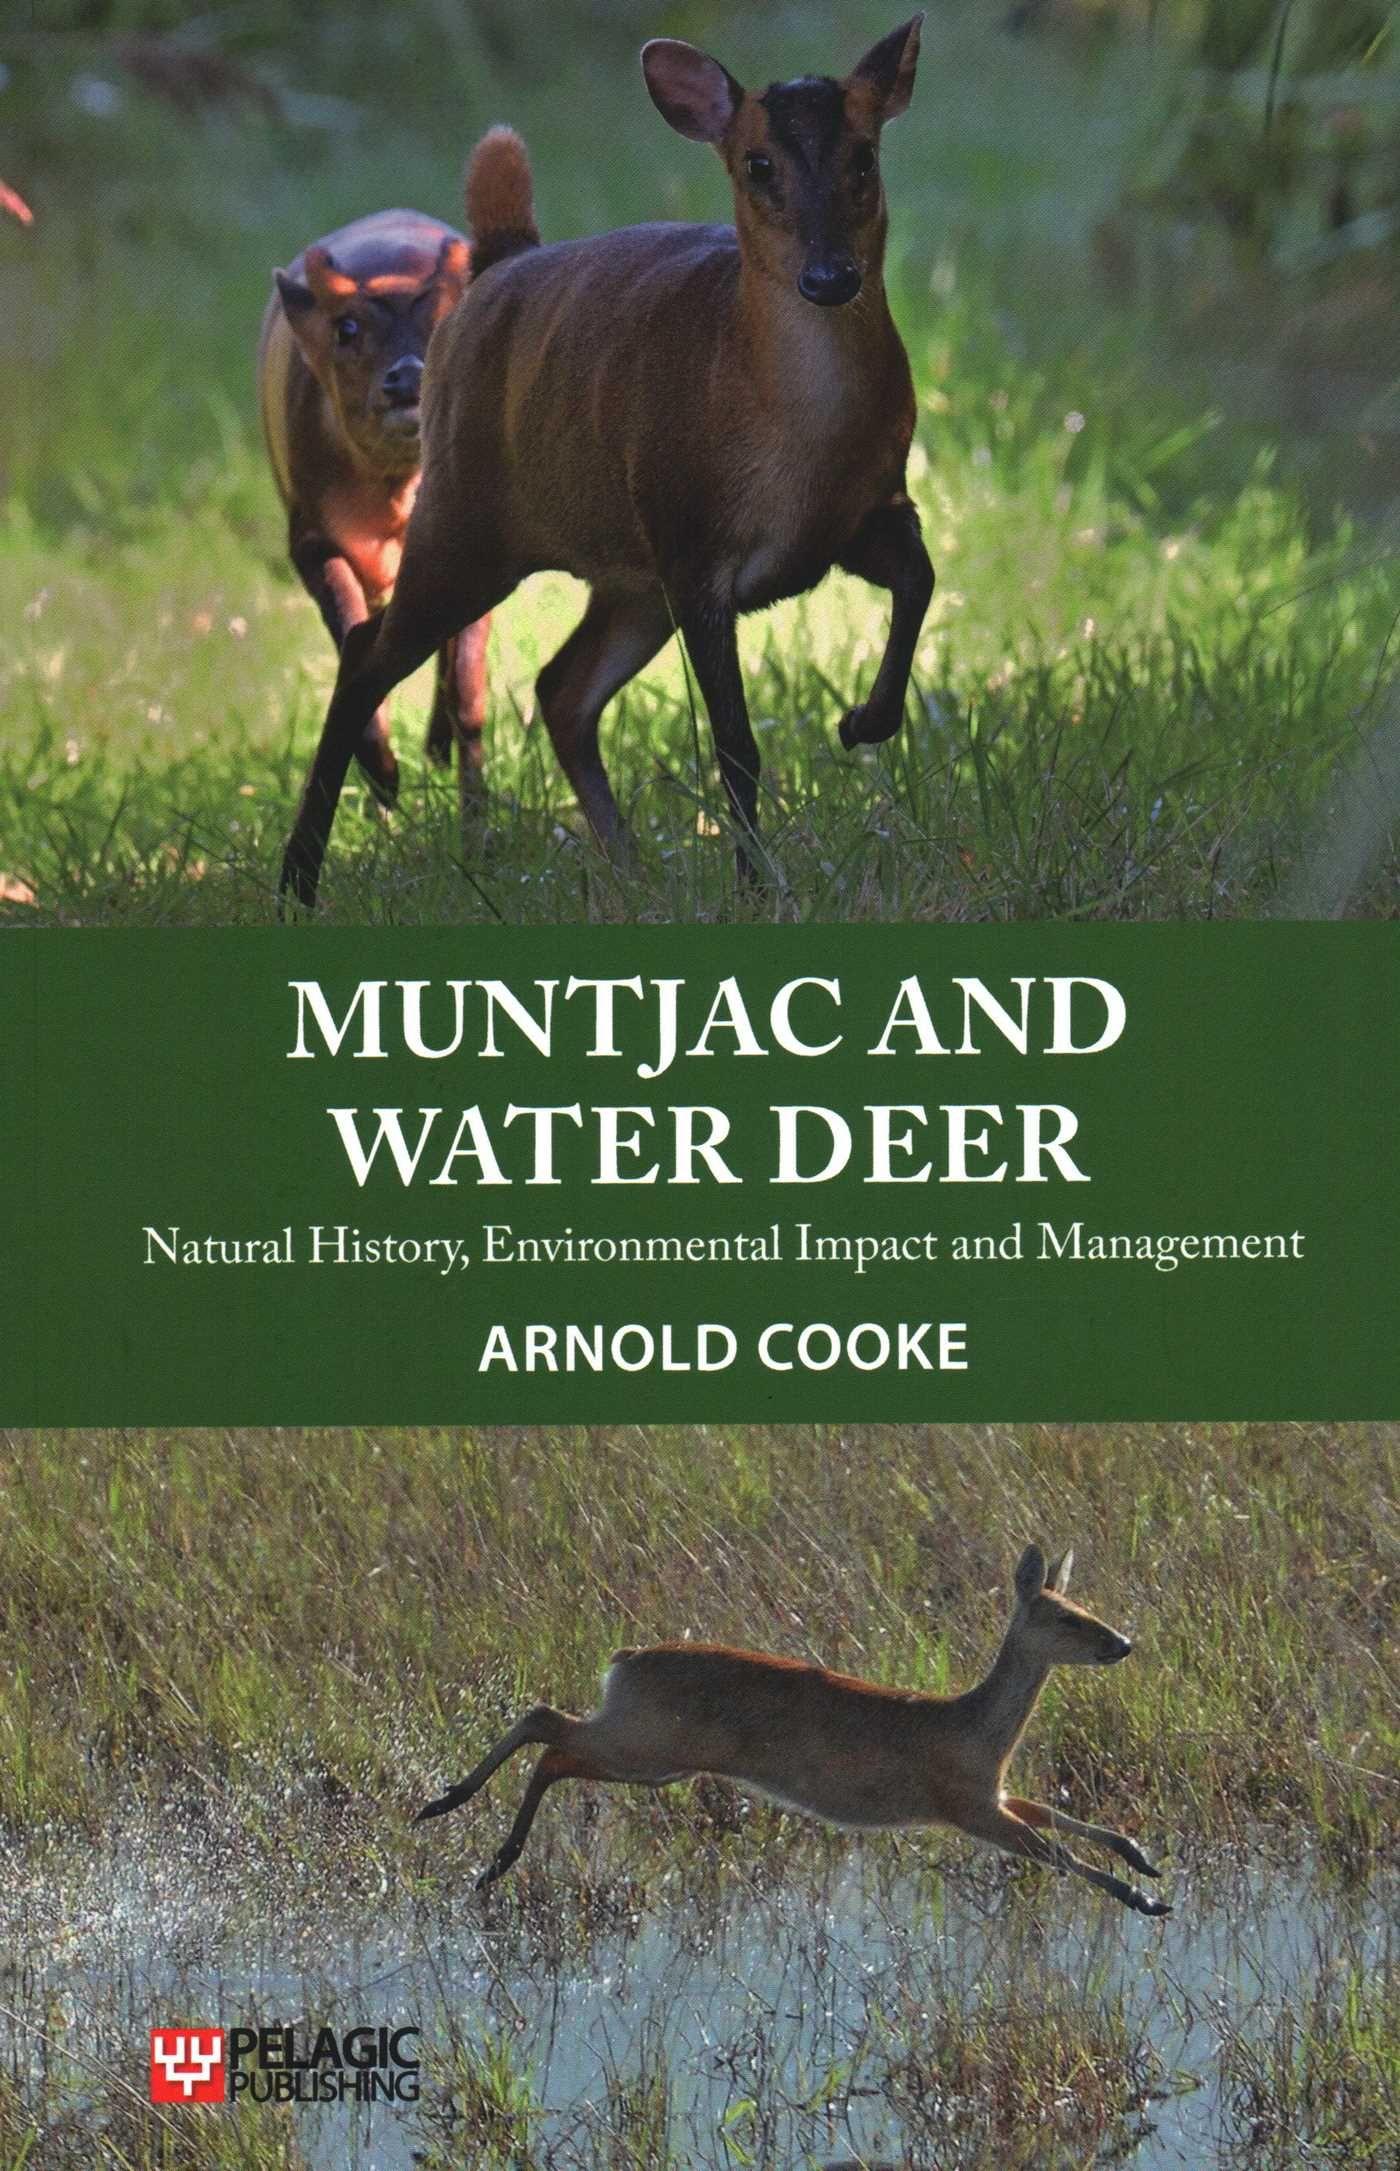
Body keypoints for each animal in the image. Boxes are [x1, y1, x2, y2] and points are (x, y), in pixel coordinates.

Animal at [259, 183, 507, 826]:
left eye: (446, 317)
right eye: (346, 328)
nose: (407, 377)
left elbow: (469, 689)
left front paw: (478, 821)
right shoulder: (309, 538)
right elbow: (355, 645)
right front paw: (385, 780)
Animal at [416, 1544, 1170, 1919]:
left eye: (1084, 1606)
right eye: (1066, 1615)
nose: (1122, 1643)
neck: (975, 1725)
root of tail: (623, 1659)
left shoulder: (994, 1794)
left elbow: (1065, 1820)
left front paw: (1143, 1858)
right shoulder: (967, 1807)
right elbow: (1057, 1852)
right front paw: (1146, 1899)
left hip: (650, 1752)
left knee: (549, 1734)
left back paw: (475, 1837)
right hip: (646, 1746)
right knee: (548, 1730)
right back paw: (461, 1823)